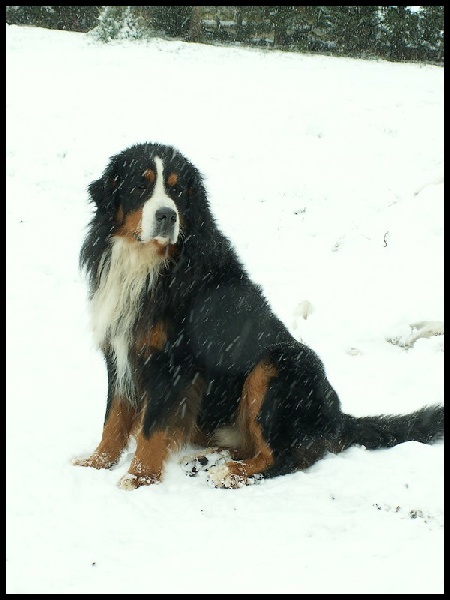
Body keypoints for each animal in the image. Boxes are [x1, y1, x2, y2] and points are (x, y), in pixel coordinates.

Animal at [73, 143, 442, 490]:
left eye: (178, 191)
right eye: (140, 185)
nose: (167, 216)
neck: (145, 262)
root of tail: (336, 415)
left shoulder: (172, 361)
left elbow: (152, 427)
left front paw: (139, 477)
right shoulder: (120, 350)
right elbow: (114, 416)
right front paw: (97, 462)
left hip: (276, 366)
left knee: (282, 457)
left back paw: (228, 473)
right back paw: (206, 459)